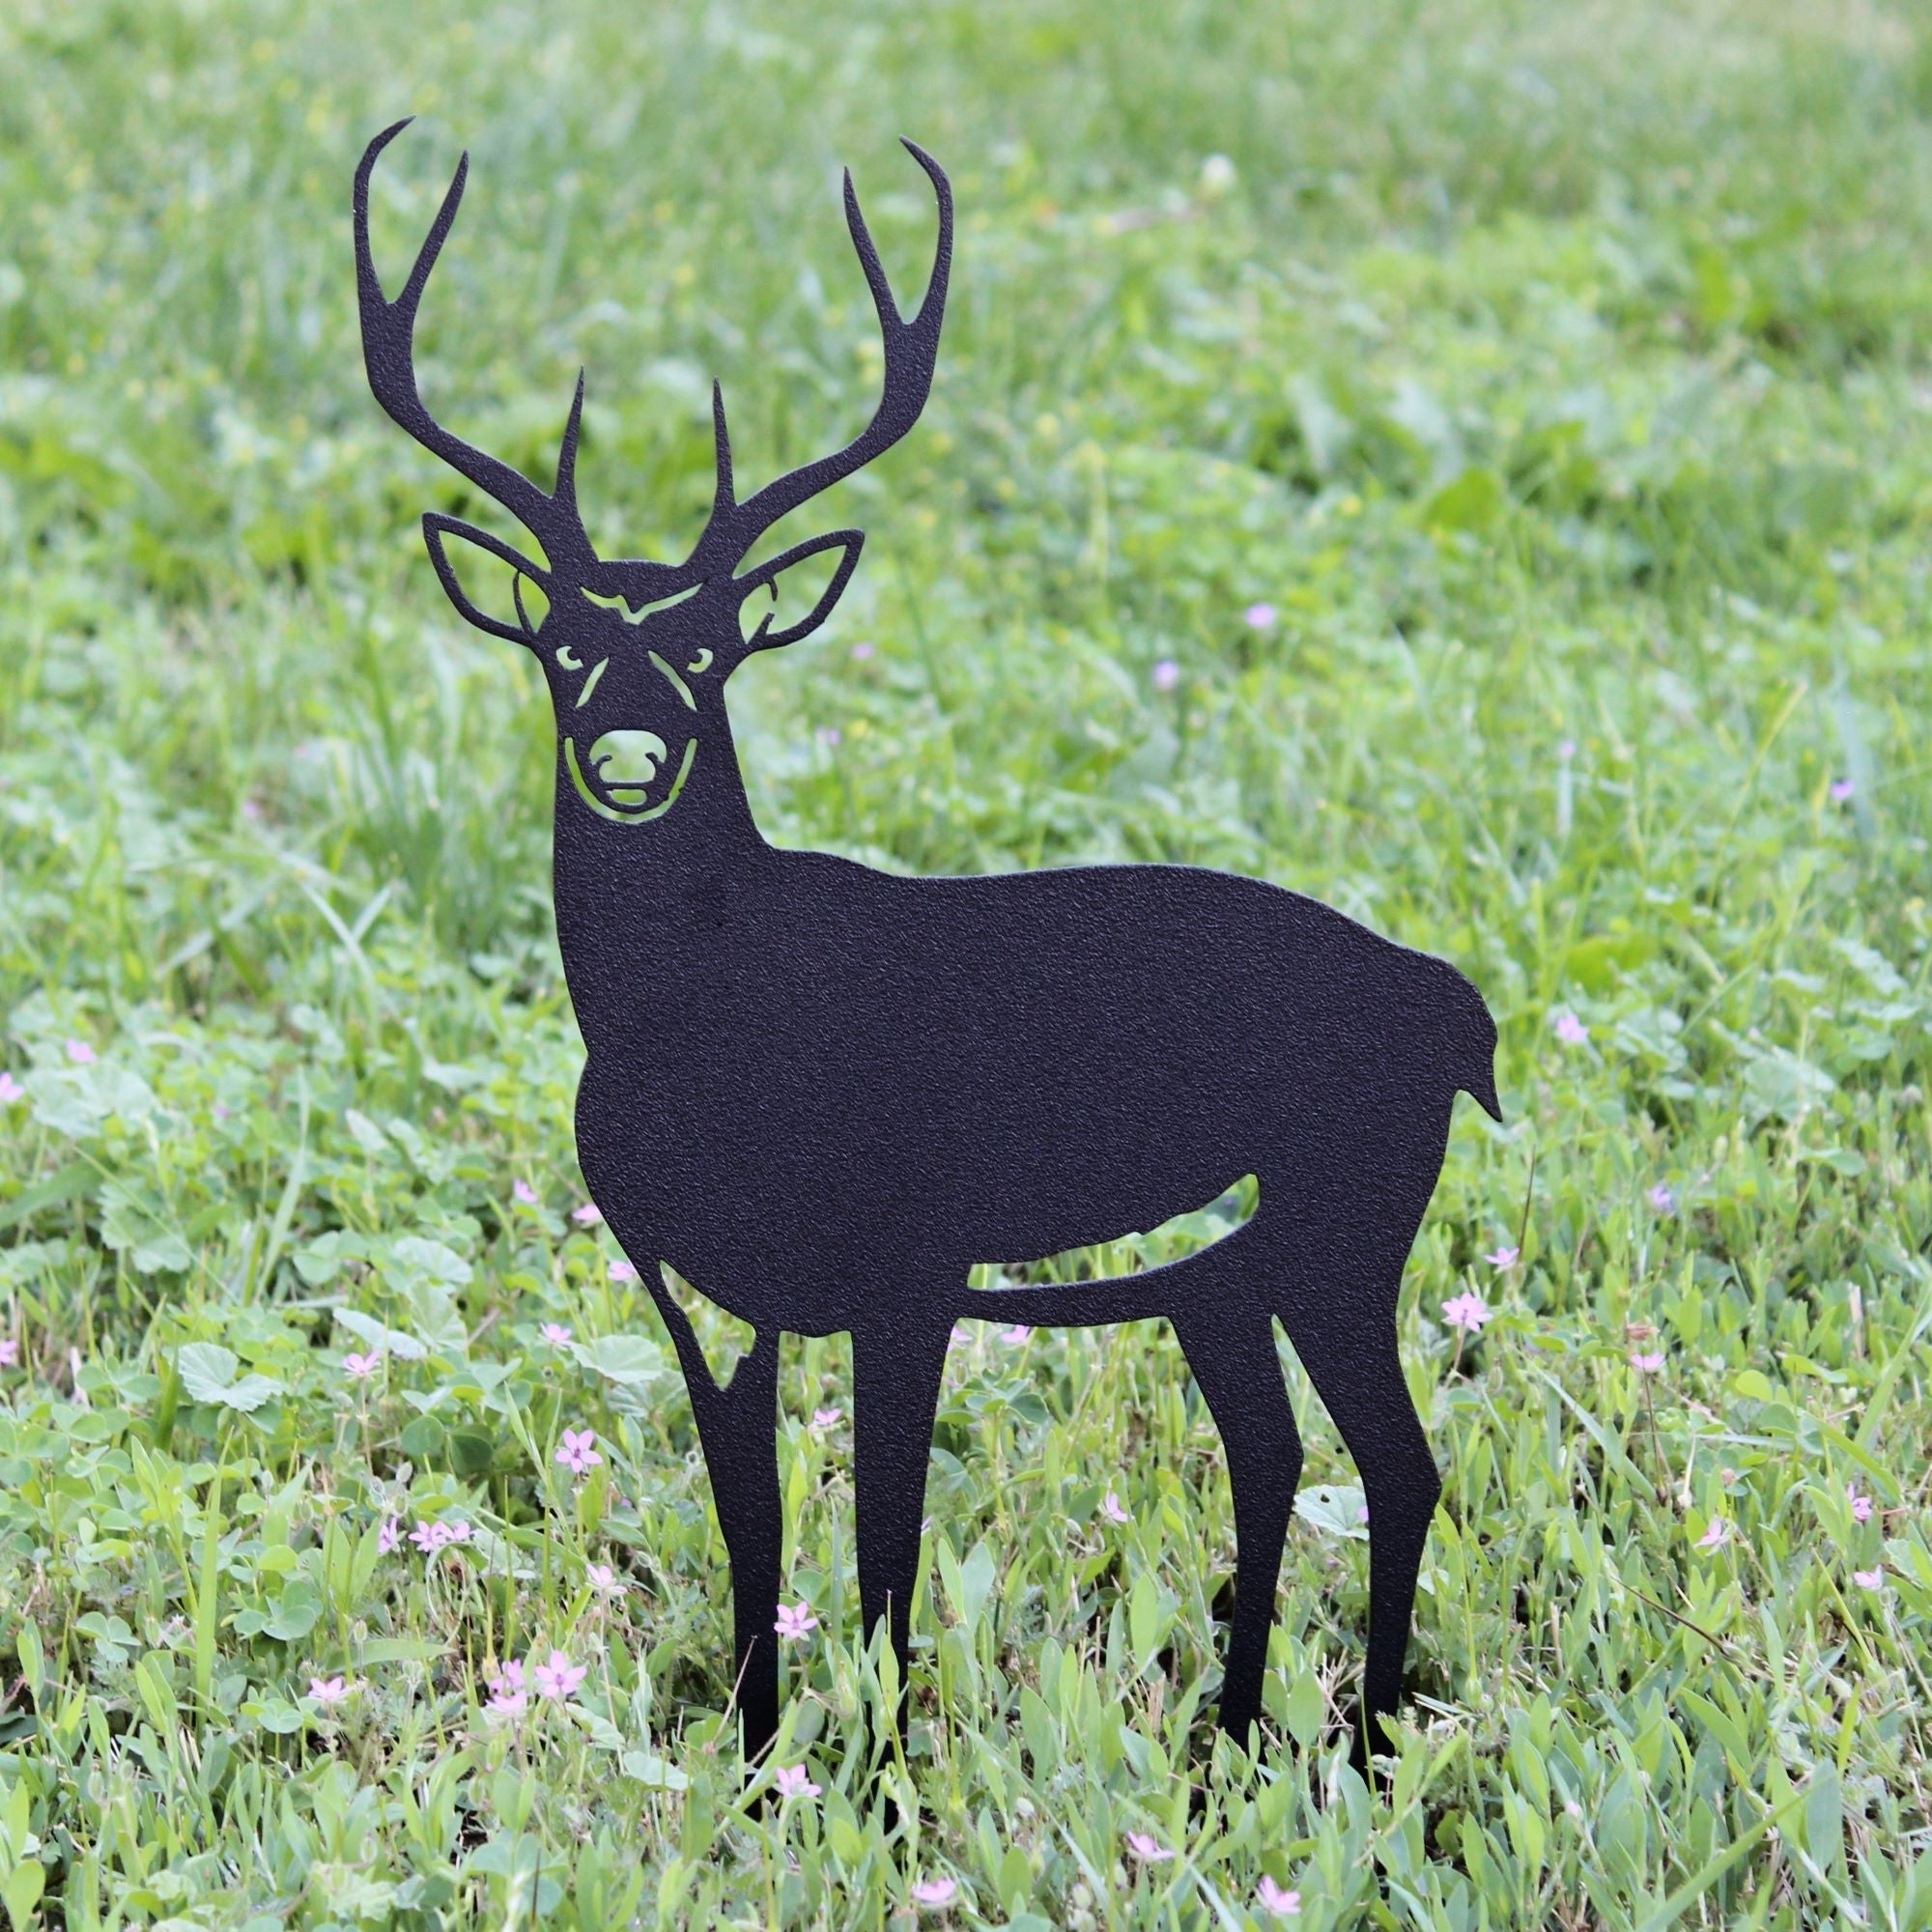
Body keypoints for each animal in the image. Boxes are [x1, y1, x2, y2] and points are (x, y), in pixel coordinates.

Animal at [354, 120, 1500, 1771]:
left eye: (708, 649)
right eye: (565, 645)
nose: (630, 755)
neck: (700, 1034)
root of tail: (1453, 1005)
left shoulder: (908, 1267)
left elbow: (884, 1547)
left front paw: (885, 1772)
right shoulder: (705, 1297)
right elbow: (754, 1535)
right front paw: (757, 1760)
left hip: (1346, 1219)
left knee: (1396, 1462)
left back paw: (1369, 1739)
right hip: (1228, 1274)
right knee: (1278, 1454)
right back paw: (1235, 1737)